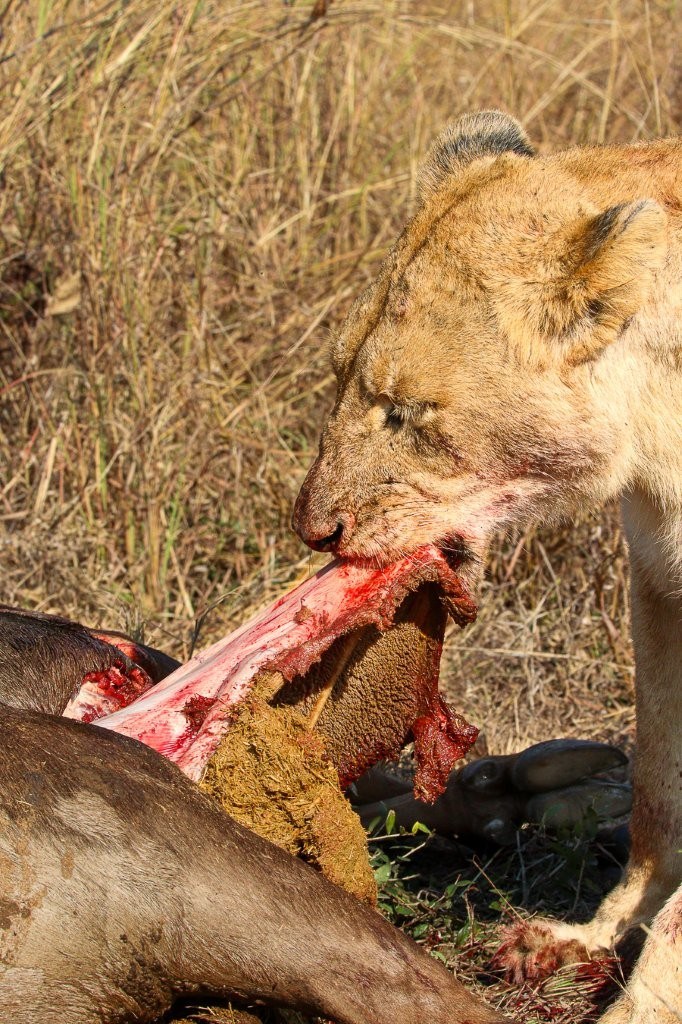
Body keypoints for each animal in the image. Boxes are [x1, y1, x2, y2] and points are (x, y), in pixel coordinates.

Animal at [293, 111, 682, 1022]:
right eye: (340, 376)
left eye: (407, 412)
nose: (313, 530)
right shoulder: (659, 582)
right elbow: (659, 787)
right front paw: (588, 939)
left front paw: (645, 1003)